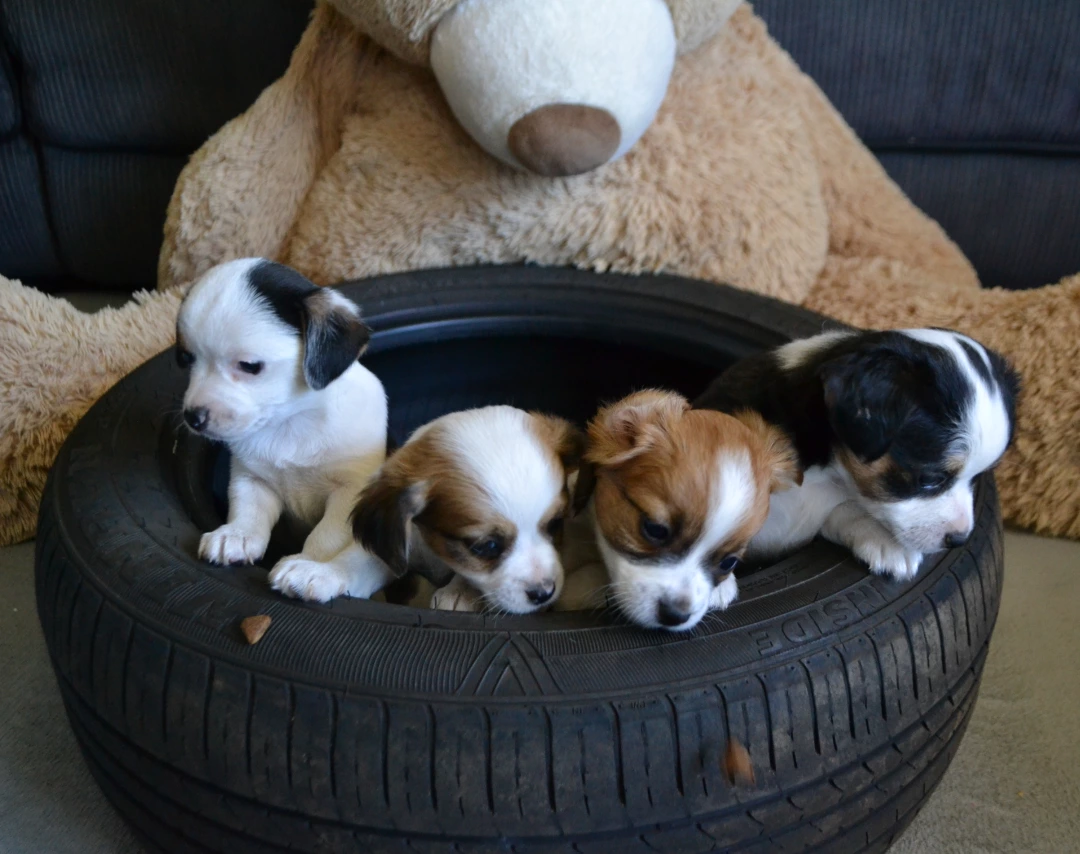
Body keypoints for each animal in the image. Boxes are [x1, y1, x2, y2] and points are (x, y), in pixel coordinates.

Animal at [176, 257, 393, 602]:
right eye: (185, 359)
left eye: (250, 366)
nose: (193, 417)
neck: (291, 422)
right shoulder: (252, 479)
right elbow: (248, 510)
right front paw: (236, 535)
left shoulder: (349, 493)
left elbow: (326, 536)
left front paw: (308, 564)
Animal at [694, 328, 1020, 580]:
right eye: (930, 479)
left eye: (976, 478)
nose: (959, 540)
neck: (822, 472)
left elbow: (848, 511)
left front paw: (888, 543)